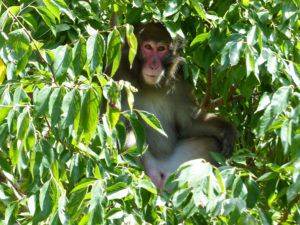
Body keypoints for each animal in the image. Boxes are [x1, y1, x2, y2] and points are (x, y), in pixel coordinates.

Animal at [113, 22, 237, 189]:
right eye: (148, 47)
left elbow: (189, 123)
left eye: (161, 49)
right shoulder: (117, 74)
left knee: (211, 143)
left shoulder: (181, 80)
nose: (154, 65)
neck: (149, 85)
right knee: (128, 129)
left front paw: (227, 130)